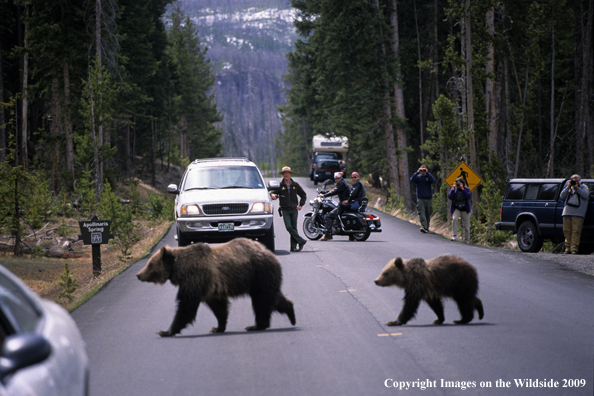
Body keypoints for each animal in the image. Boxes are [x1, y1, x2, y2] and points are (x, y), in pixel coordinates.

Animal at [136, 237, 294, 336]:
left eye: (150, 264)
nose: (138, 275)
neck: (180, 270)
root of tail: (270, 254)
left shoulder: (195, 278)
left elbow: (186, 306)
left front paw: (166, 331)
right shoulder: (210, 288)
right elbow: (219, 307)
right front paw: (217, 327)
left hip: (259, 273)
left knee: (262, 301)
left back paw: (256, 325)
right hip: (262, 278)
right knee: (272, 298)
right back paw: (290, 312)